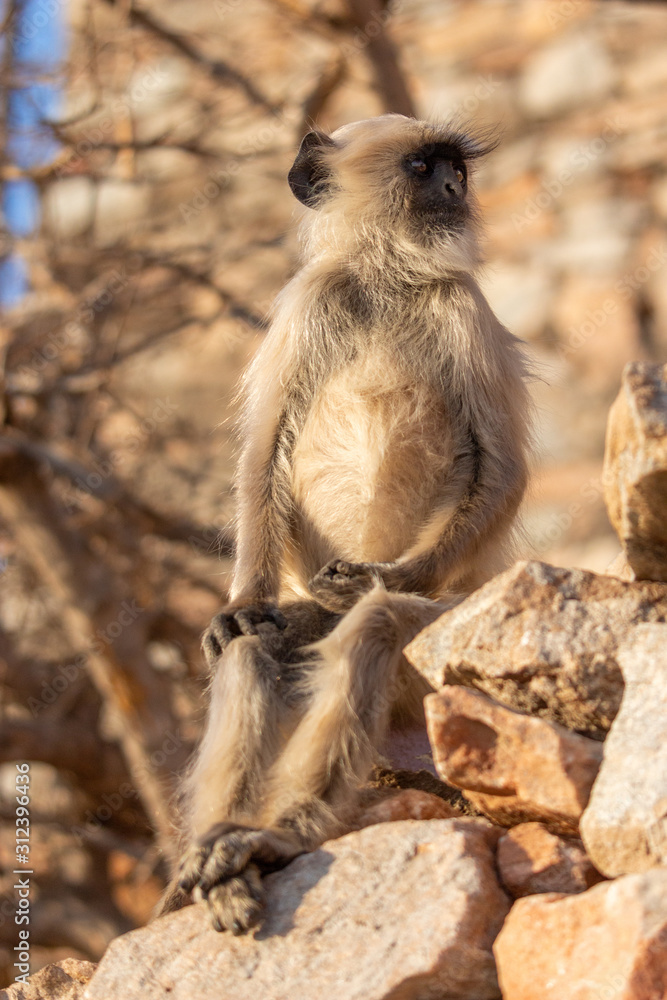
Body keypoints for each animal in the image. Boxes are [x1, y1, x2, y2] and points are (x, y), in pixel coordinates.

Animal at [160, 114, 532, 934]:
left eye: (455, 168)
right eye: (424, 167)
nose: (455, 187)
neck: (389, 277)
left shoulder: (462, 306)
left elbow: (503, 471)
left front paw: (376, 576)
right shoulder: (312, 299)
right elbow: (263, 453)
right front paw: (240, 605)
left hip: (451, 635)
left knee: (373, 629)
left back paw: (274, 836)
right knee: (253, 650)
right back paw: (221, 851)